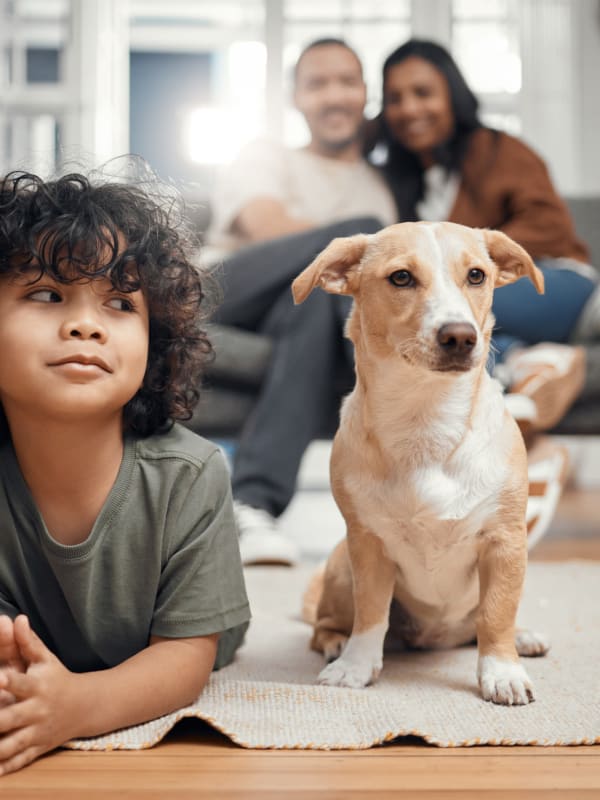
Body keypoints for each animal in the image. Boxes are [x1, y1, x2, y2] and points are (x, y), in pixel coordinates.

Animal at [292, 220, 552, 708]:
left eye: (476, 275)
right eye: (401, 278)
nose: (460, 336)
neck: (426, 420)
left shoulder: (505, 543)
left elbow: (496, 614)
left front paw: (501, 671)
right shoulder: (367, 545)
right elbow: (371, 614)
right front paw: (357, 667)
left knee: (485, 622)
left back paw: (524, 636)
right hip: (340, 568)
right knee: (324, 625)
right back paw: (336, 643)